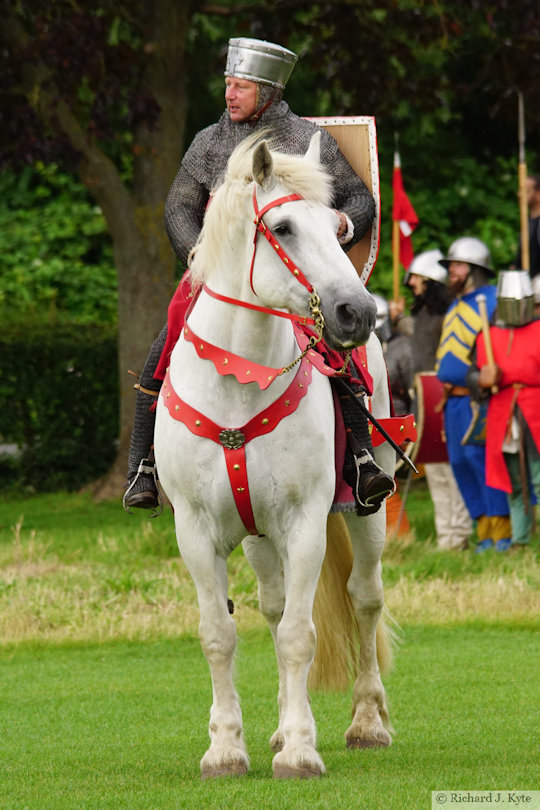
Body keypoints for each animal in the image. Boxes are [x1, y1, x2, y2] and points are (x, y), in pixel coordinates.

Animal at [154, 133, 394, 776]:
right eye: (282, 227)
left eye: (337, 227)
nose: (358, 313)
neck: (240, 379)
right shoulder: (196, 531)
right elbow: (220, 633)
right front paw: (225, 748)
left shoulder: (306, 523)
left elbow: (299, 636)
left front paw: (303, 751)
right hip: (259, 537)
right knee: (274, 603)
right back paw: (282, 730)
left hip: (368, 511)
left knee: (364, 598)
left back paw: (367, 722)